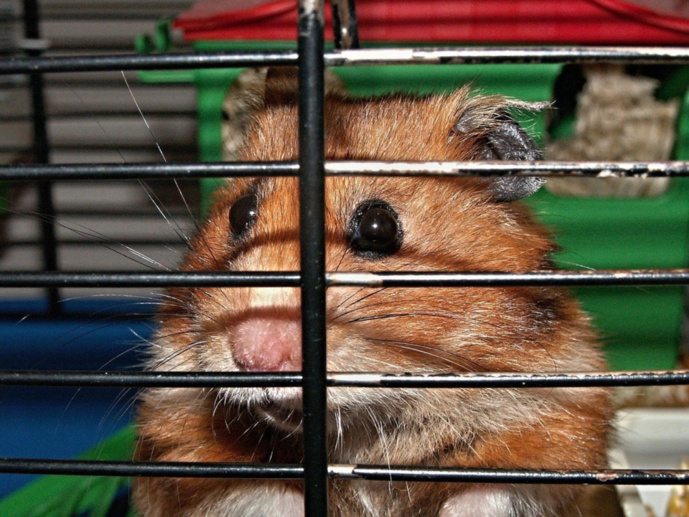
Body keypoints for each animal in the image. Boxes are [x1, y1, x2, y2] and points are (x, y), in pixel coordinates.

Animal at [133, 69, 612, 517]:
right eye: (239, 212)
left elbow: (488, 491)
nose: (255, 356)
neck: (366, 426)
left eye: (378, 227)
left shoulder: (559, 429)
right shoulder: (180, 439)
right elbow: (262, 493)